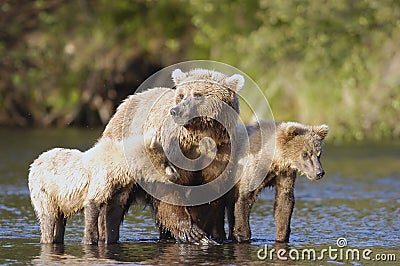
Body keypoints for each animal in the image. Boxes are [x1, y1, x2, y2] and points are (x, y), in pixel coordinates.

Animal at [28, 130, 177, 244]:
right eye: (165, 161)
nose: (175, 174)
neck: (120, 169)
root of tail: (35, 162)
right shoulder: (101, 179)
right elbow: (93, 205)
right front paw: (89, 240)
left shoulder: (119, 189)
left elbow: (113, 213)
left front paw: (110, 239)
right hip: (45, 190)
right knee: (48, 217)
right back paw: (47, 239)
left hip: (60, 200)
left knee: (60, 220)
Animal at [101, 68, 244, 243]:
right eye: (181, 95)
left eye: (198, 94)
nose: (176, 111)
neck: (199, 140)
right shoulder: (172, 152)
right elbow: (168, 190)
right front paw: (192, 232)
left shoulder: (220, 154)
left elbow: (210, 192)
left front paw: (201, 230)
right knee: (115, 201)